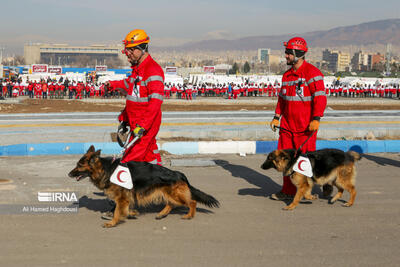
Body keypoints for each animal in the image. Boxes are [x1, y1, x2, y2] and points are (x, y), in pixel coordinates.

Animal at [68, 147, 219, 228]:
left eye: (79, 165)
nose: (69, 174)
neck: (106, 169)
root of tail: (179, 173)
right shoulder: (126, 198)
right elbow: (124, 209)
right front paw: (132, 213)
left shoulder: (122, 198)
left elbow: (117, 211)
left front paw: (112, 223)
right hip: (167, 193)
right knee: (171, 204)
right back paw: (162, 214)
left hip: (174, 194)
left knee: (192, 202)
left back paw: (189, 215)